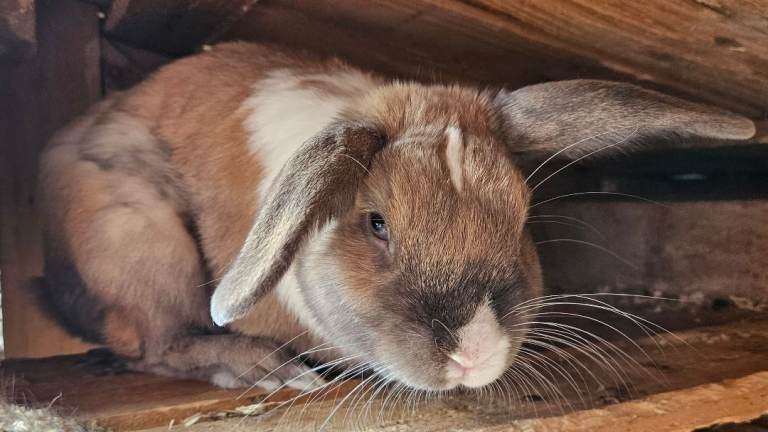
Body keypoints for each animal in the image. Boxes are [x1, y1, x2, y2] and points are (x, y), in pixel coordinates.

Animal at [36, 42, 756, 392]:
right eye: (377, 224)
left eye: (522, 217)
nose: (474, 354)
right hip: (137, 236)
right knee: (154, 344)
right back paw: (261, 368)